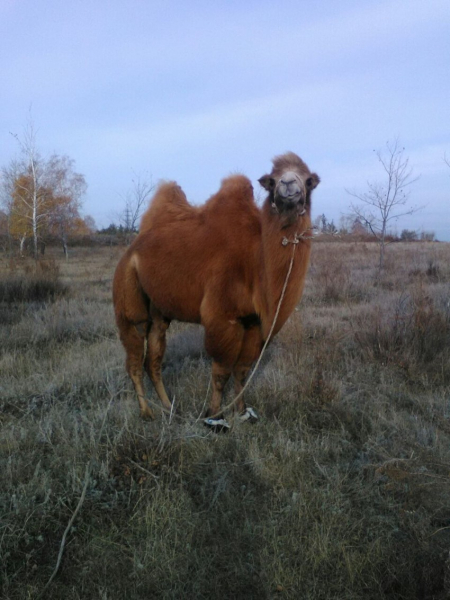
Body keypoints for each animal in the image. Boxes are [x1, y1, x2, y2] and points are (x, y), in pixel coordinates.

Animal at [112, 154, 318, 426]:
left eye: (308, 180)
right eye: (272, 181)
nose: (288, 184)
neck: (256, 261)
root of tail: (131, 250)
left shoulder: (253, 322)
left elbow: (242, 372)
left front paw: (242, 412)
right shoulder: (222, 316)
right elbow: (221, 372)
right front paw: (215, 417)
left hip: (159, 311)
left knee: (153, 359)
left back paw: (169, 408)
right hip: (128, 292)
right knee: (135, 357)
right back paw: (147, 413)